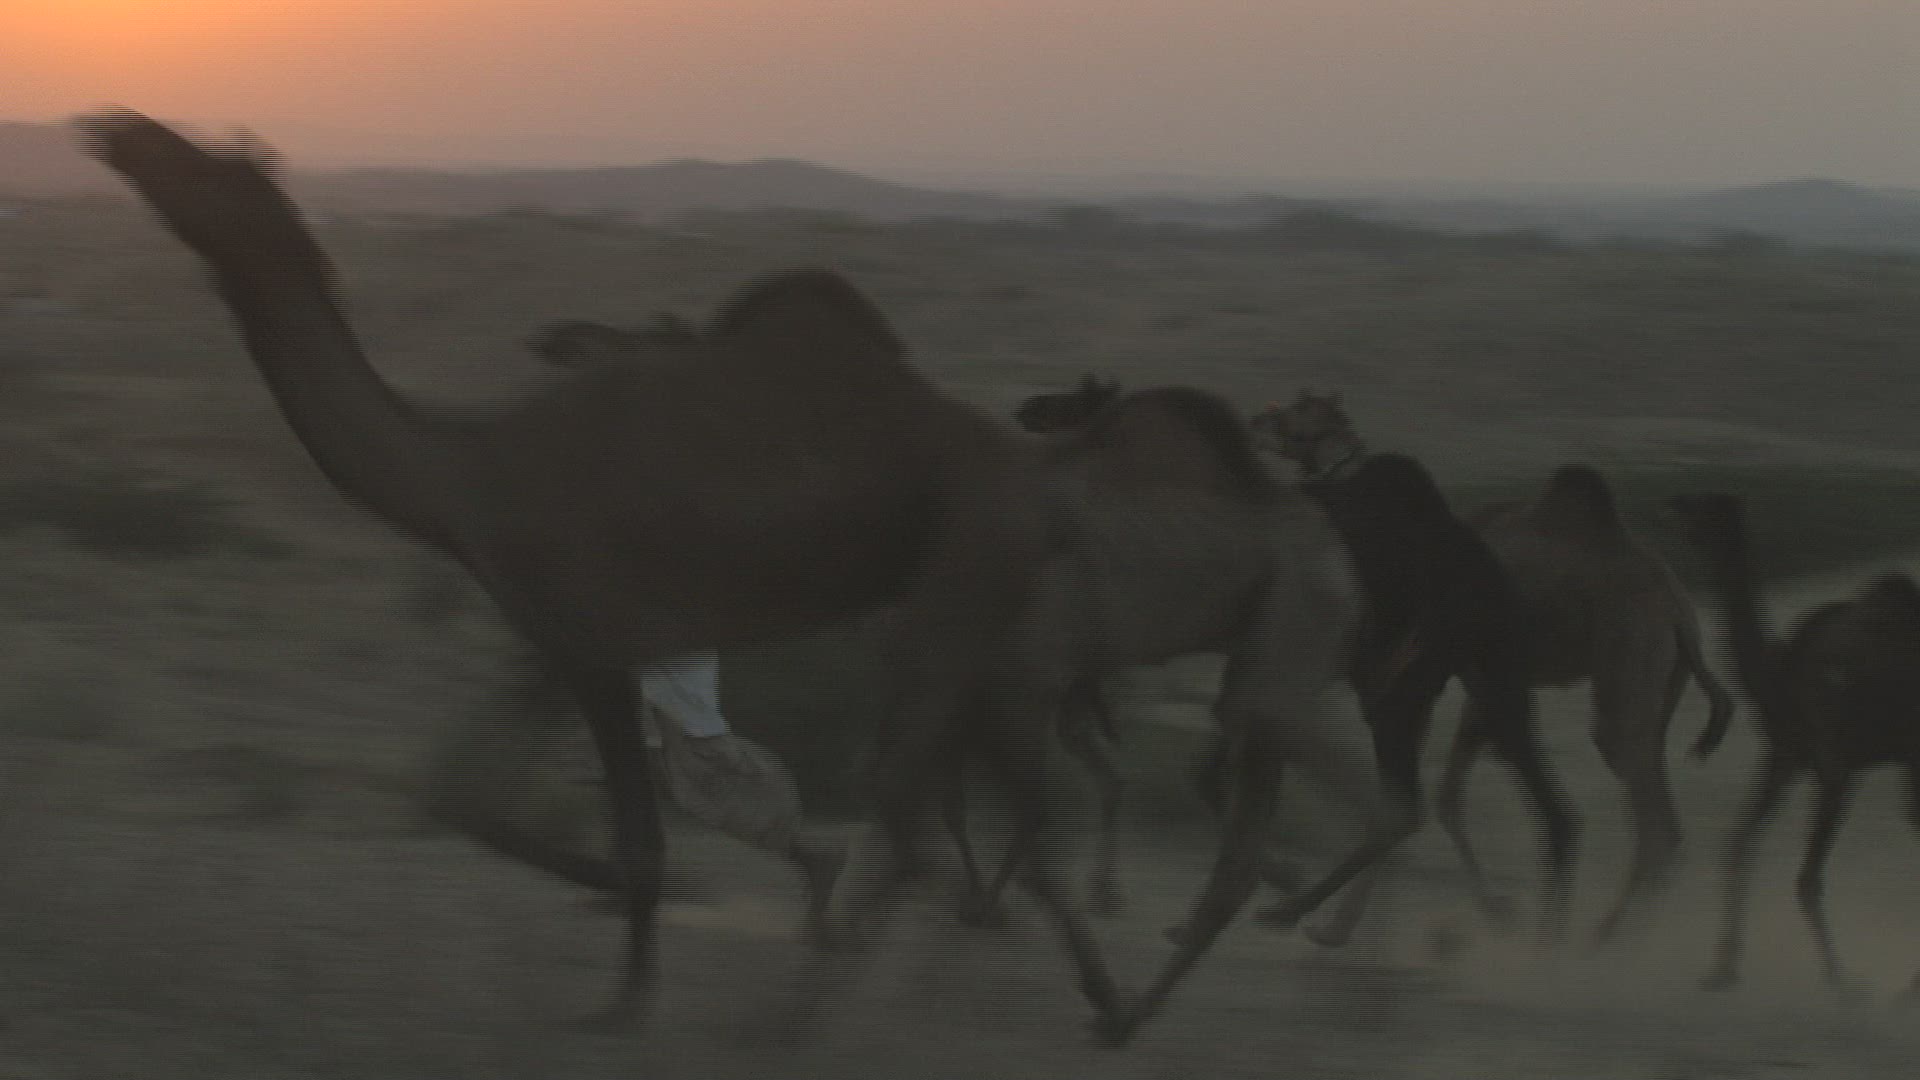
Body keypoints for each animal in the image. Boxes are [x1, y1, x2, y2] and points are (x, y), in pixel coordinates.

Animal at [1256, 390, 1735, 943]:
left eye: (1295, 407)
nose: (1259, 419)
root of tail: (1680, 612)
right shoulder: (1460, 682)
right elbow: (1439, 796)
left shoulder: (1436, 678)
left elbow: (1424, 795)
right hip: (1662, 683)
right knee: (1661, 813)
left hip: (1626, 660)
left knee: (1642, 809)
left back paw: (1603, 937)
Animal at [1668, 492, 1920, 995]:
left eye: (1703, 513)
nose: (1674, 518)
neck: (1772, 678)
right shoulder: (1788, 758)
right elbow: (1739, 845)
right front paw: (1725, 966)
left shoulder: (1826, 761)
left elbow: (1806, 880)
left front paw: (1845, 987)